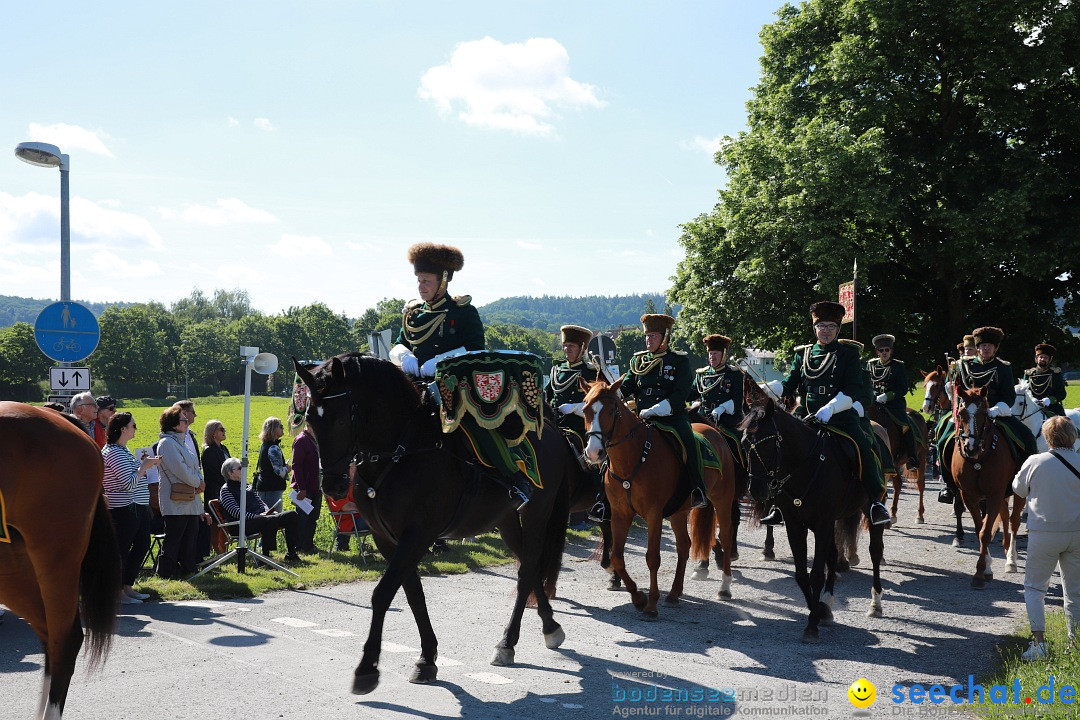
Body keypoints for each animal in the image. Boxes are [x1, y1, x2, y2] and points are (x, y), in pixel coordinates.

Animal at [578, 375, 738, 617]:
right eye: (585, 409)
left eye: (612, 410)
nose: (594, 452)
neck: (634, 458)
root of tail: (714, 432)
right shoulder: (619, 514)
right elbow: (616, 557)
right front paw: (637, 597)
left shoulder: (653, 514)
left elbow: (652, 557)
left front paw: (651, 604)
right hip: (680, 511)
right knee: (684, 545)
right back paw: (674, 593)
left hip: (723, 499)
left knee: (726, 537)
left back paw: (725, 588)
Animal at [950, 388, 1023, 587]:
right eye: (961, 413)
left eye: (984, 414)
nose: (970, 448)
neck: (979, 459)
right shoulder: (969, 495)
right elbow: (980, 530)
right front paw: (986, 569)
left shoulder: (994, 496)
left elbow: (985, 533)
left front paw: (980, 572)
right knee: (1005, 515)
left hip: (1018, 494)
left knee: (1014, 521)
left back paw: (1011, 560)